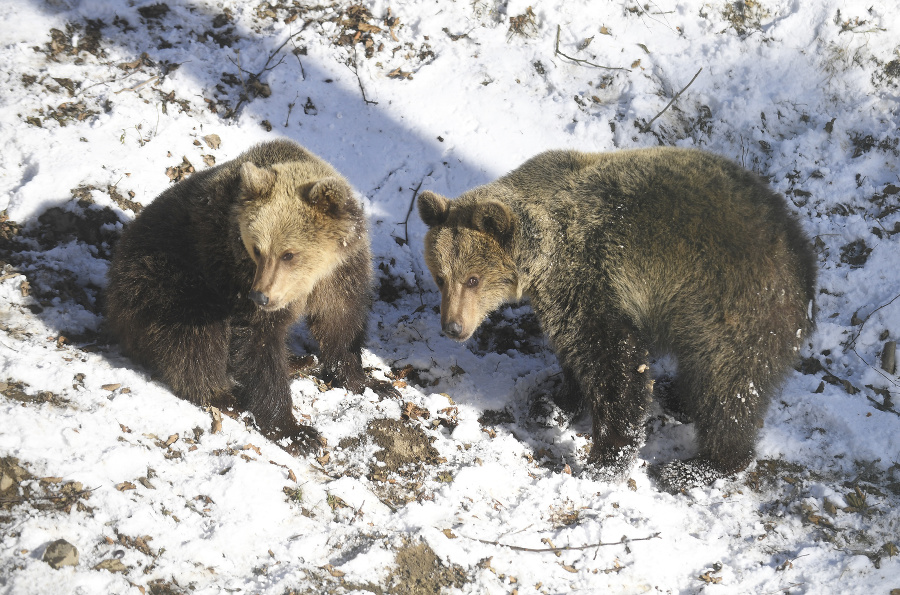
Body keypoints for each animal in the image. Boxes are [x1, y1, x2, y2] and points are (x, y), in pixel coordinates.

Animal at [106, 141, 380, 456]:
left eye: (289, 254)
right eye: (257, 249)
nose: (260, 296)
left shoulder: (340, 272)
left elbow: (340, 322)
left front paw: (366, 382)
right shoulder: (233, 267)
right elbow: (257, 343)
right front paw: (296, 432)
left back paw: (300, 361)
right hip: (164, 280)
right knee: (194, 338)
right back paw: (227, 395)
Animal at [418, 147, 820, 492]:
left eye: (473, 279)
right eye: (441, 277)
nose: (453, 327)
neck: (542, 254)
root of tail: (805, 262)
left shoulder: (591, 271)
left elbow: (612, 360)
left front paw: (605, 459)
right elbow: (574, 353)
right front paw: (553, 404)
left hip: (734, 306)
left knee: (727, 387)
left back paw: (695, 466)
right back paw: (676, 395)